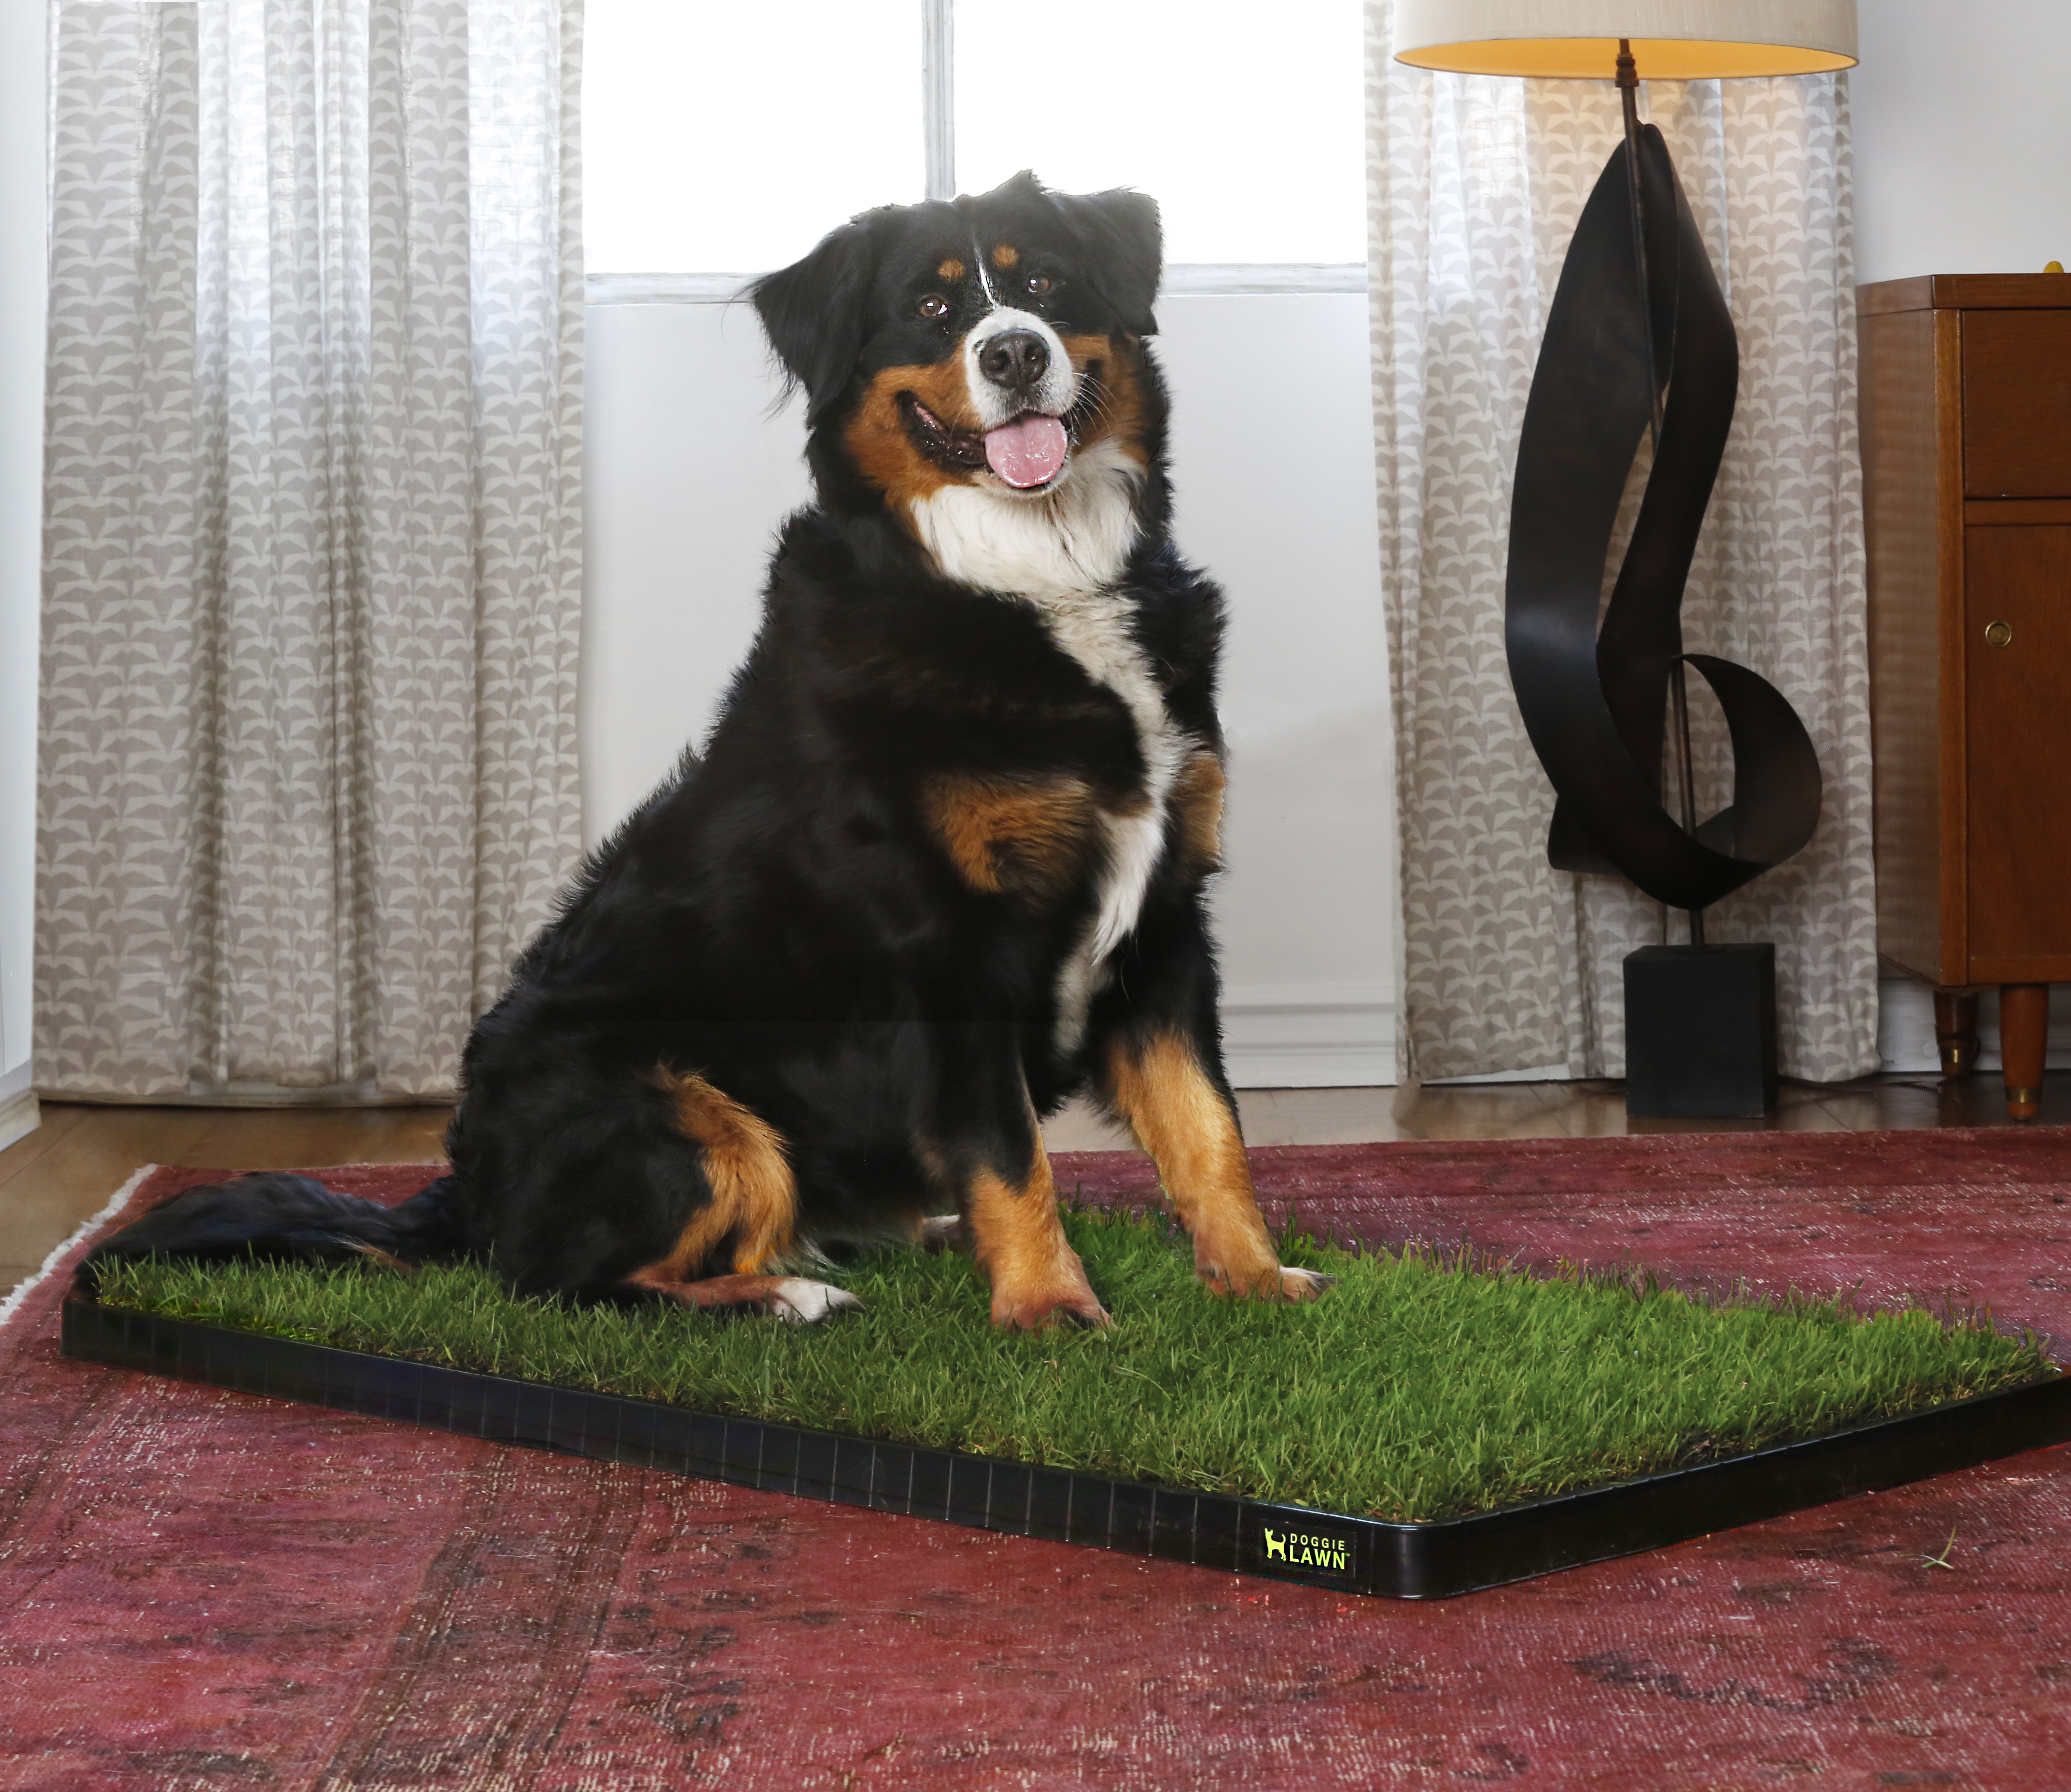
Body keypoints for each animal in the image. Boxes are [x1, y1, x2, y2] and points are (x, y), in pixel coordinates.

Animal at [84, 171, 1325, 1326]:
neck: (1032, 582)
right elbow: (1010, 1156)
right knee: (565, 1282)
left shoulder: (1166, 909)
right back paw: (789, 1293)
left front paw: (1257, 1284)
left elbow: (1209, 1131)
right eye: (930, 308)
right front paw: (1050, 1310)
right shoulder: (951, 942)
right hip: (681, 1106)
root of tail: (468, 1193)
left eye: (1047, 285)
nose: (1015, 352)